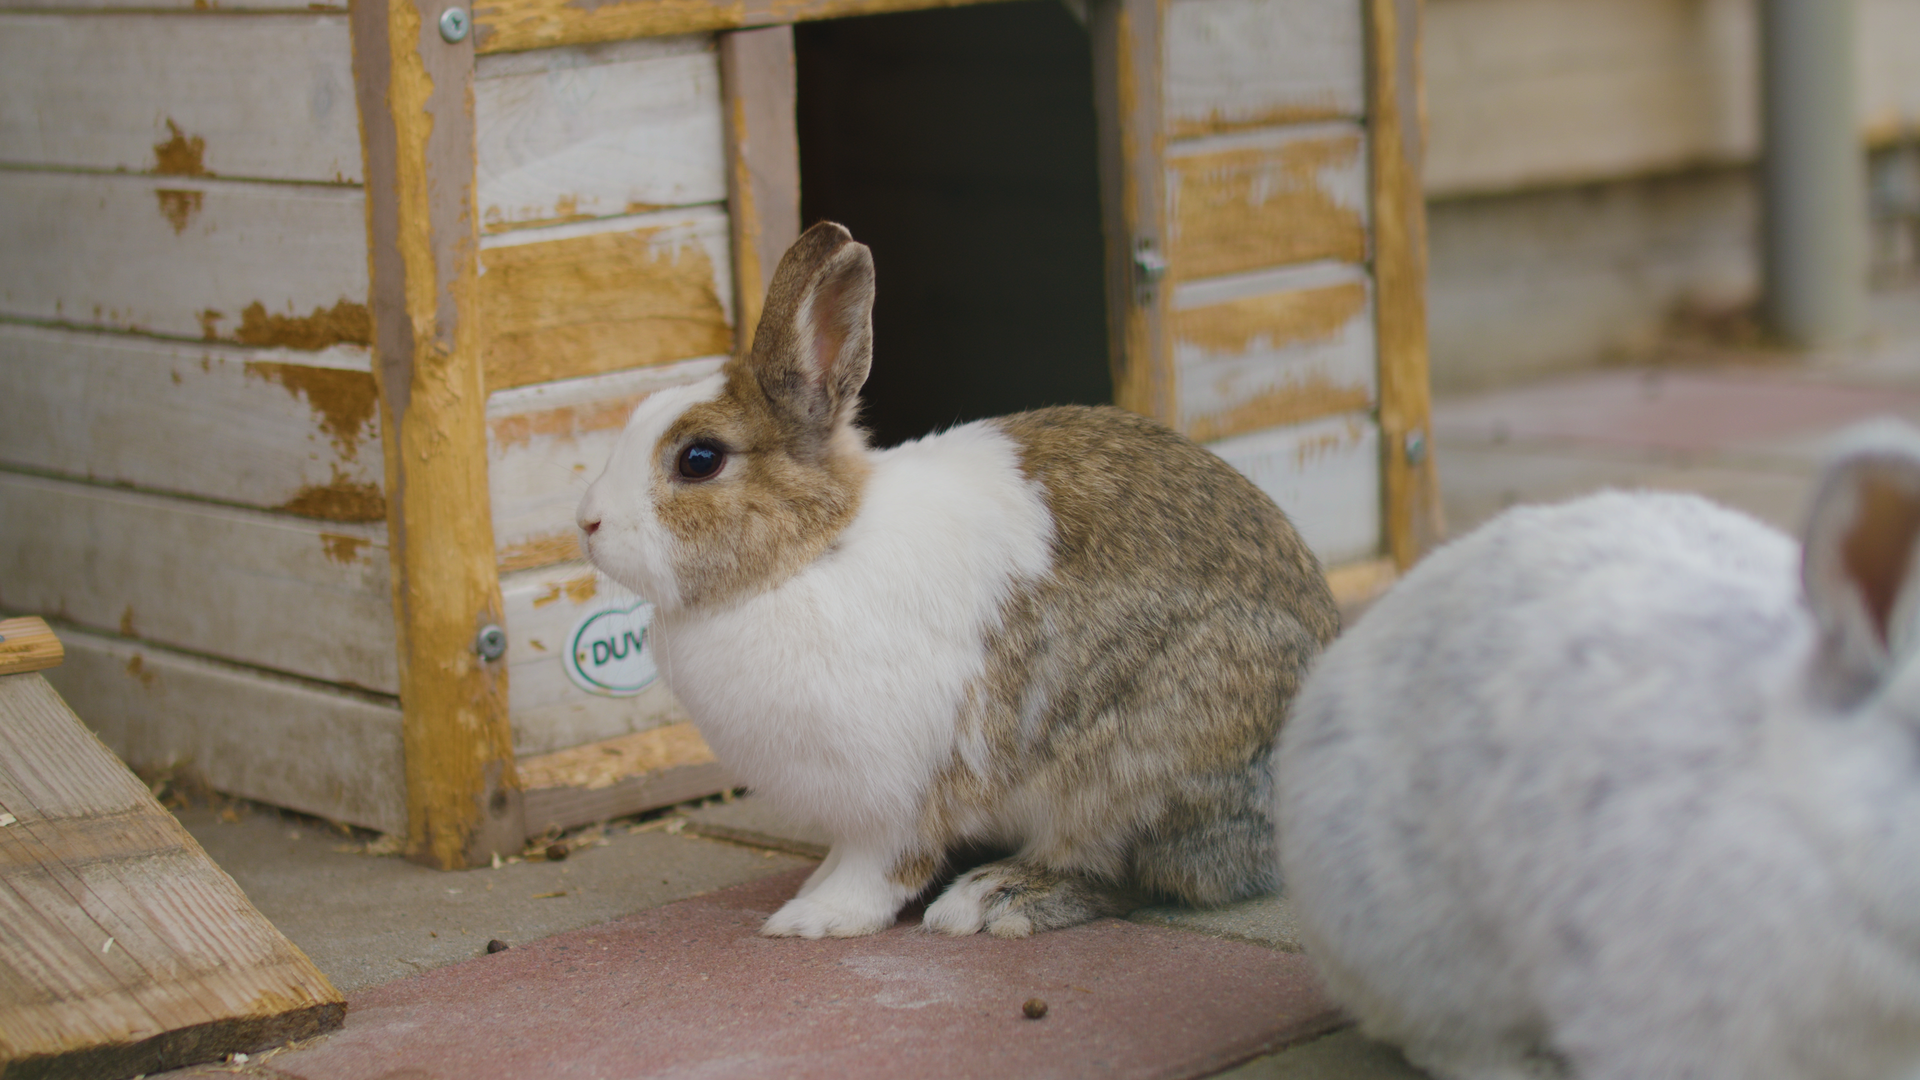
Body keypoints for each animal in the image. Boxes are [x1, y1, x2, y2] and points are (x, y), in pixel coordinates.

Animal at [576, 221, 1339, 939]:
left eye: (699, 459)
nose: (587, 522)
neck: (815, 552)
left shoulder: (899, 792)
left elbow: (882, 866)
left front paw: (815, 918)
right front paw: (812, 890)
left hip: (1134, 768)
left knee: (1131, 874)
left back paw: (993, 899)